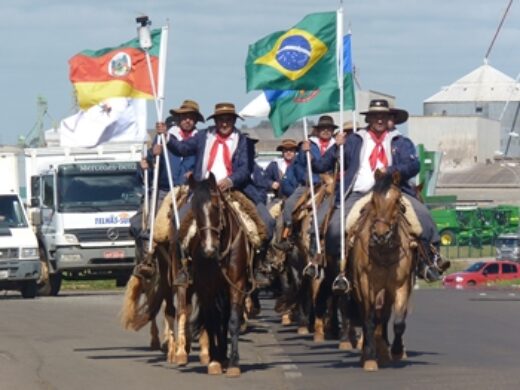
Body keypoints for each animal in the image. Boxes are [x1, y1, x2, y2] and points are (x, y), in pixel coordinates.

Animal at [181, 175, 252, 376]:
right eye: (194, 208)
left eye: (215, 205)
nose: (208, 249)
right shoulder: (206, 287)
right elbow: (212, 321)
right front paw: (214, 361)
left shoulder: (237, 284)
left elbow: (233, 320)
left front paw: (234, 363)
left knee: (225, 317)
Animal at [350, 171, 418, 372]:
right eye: (373, 200)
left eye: (397, 201)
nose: (380, 235)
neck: (384, 250)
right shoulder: (365, 284)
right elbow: (370, 319)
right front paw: (370, 357)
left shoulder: (401, 285)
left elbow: (398, 321)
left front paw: (396, 351)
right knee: (366, 315)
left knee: (385, 315)